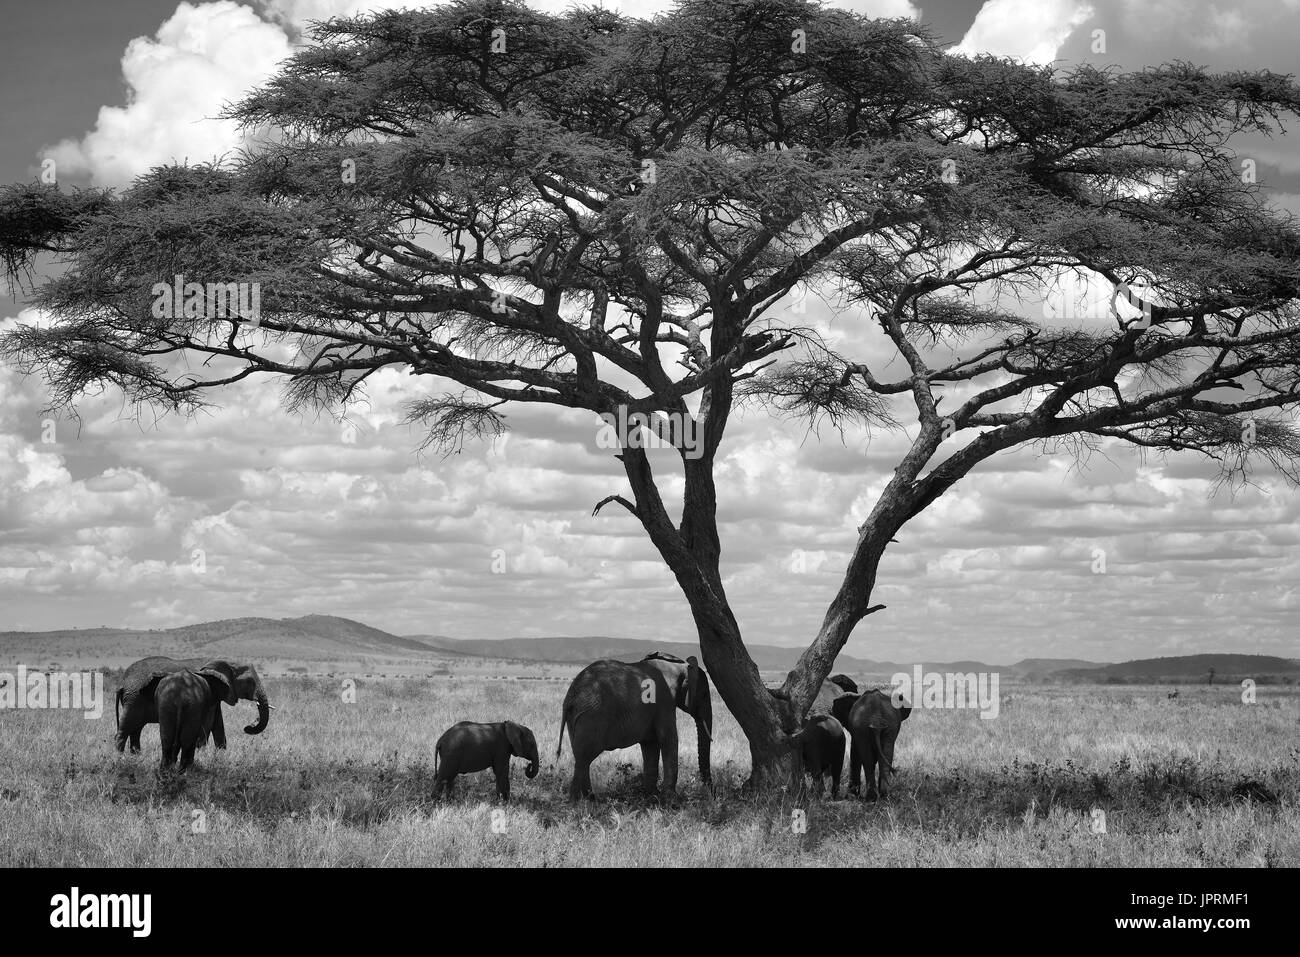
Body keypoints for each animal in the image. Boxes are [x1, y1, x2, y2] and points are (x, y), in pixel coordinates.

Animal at [115, 655, 271, 748]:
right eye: (249, 682)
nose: (248, 727)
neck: (224, 660)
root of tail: (122, 682)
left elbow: (218, 724)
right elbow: (207, 724)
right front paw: (201, 753)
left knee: (136, 729)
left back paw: (136, 757)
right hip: (134, 699)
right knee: (127, 728)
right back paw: (121, 758)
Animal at [556, 650, 717, 800]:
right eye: (703, 694)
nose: (711, 792)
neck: (678, 665)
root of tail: (571, 695)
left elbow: (650, 744)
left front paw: (652, 796)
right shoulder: (665, 701)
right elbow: (668, 739)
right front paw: (671, 799)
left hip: (577, 717)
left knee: (581, 756)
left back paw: (590, 799)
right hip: (592, 715)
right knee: (584, 758)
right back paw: (578, 802)